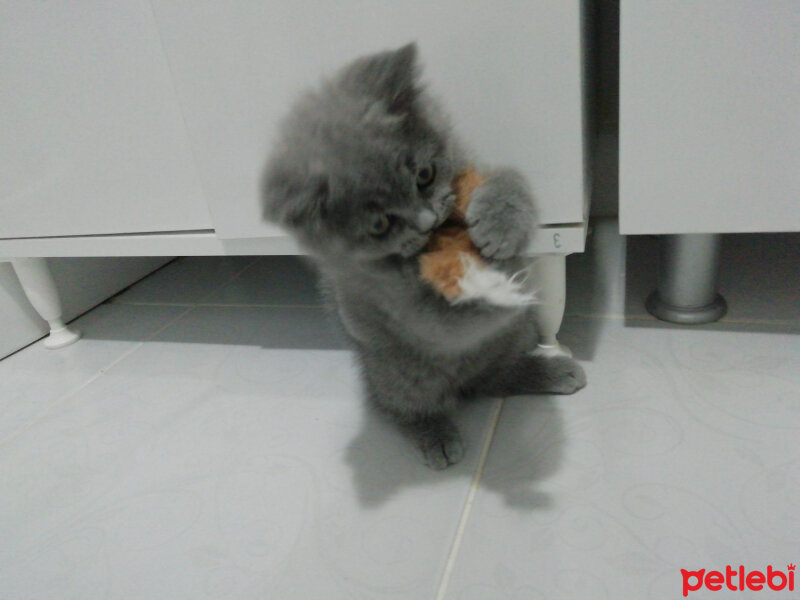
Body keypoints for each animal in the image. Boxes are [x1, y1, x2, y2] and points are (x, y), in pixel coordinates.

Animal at [266, 44, 584, 472]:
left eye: (424, 175)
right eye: (380, 223)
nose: (427, 220)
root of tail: (462, 381)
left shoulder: (474, 165)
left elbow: (509, 178)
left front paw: (500, 226)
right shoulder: (389, 300)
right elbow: (437, 318)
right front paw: (490, 286)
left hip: (515, 336)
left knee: (495, 377)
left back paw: (549, 371)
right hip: (397, 373)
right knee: (401, 406)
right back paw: (435, 433)